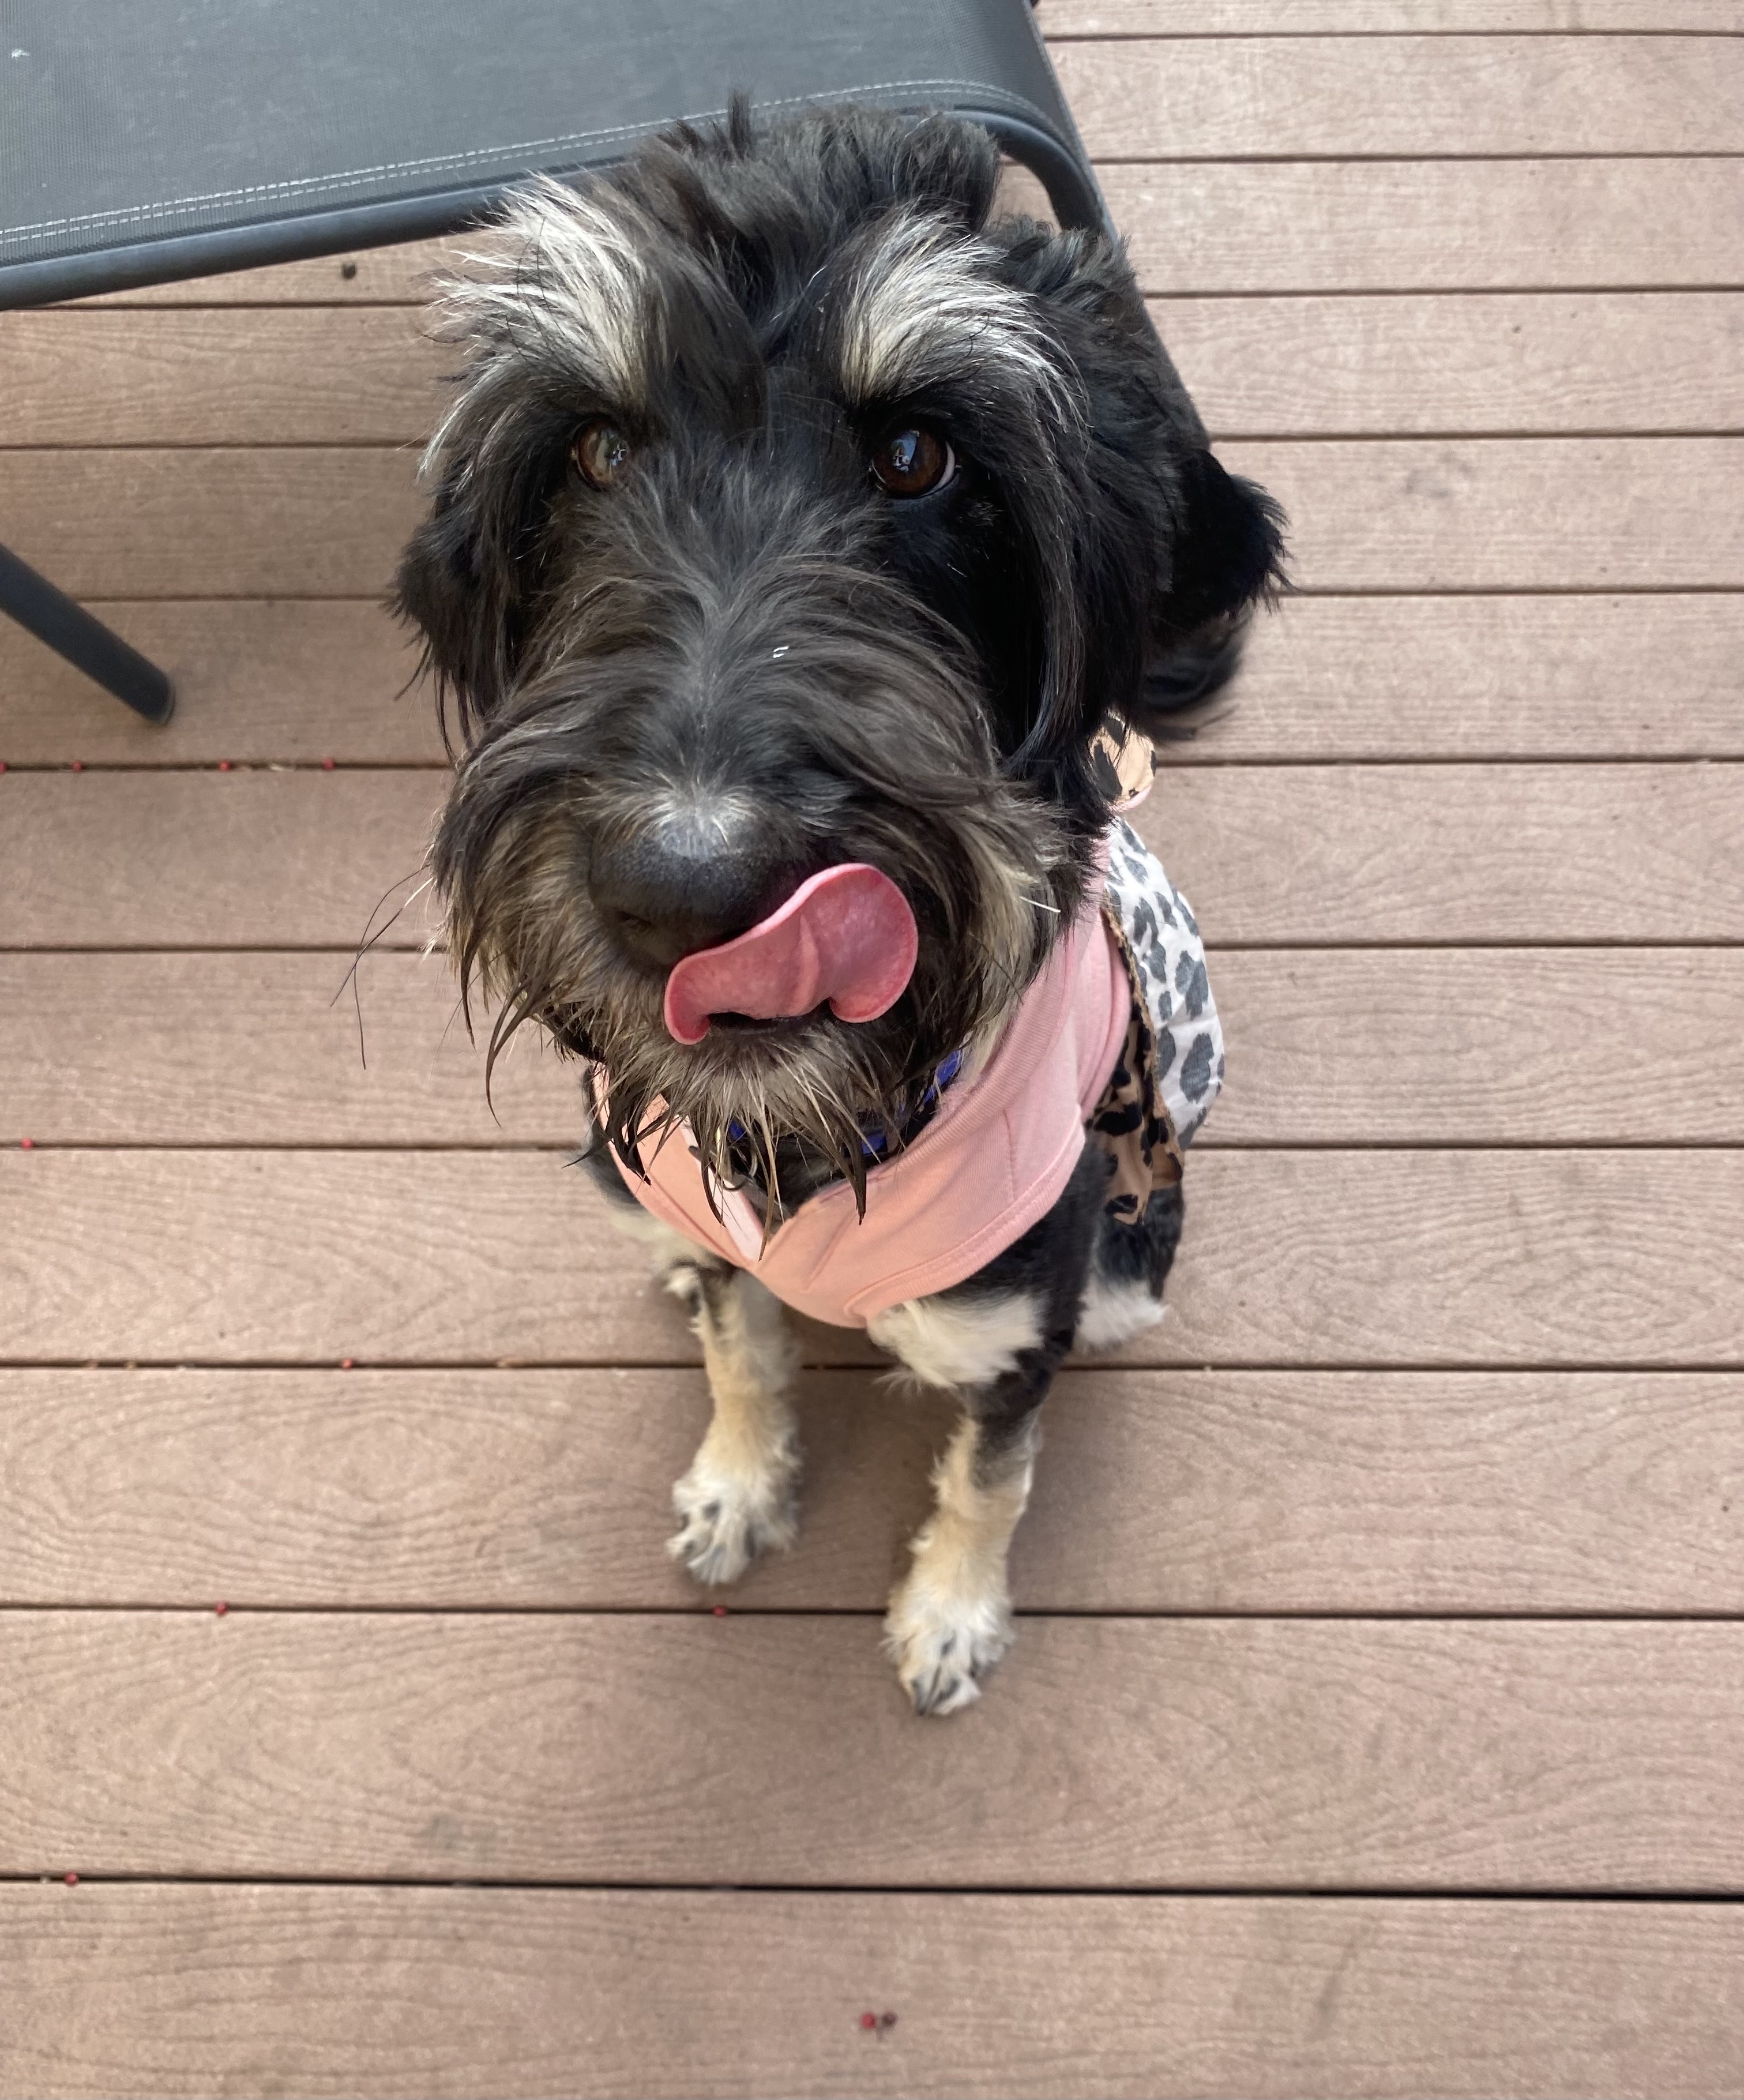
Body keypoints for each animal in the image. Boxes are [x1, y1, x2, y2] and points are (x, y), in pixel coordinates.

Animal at [395, 101, 1284, 1715]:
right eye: (594, 449)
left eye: (921, 455)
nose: (684, 888)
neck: (816, 1133)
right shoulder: (720, 1246)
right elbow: (740, 1353)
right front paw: (742, 1483)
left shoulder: (1016, 1323)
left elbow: (994, 1471)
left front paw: (950, 1610)